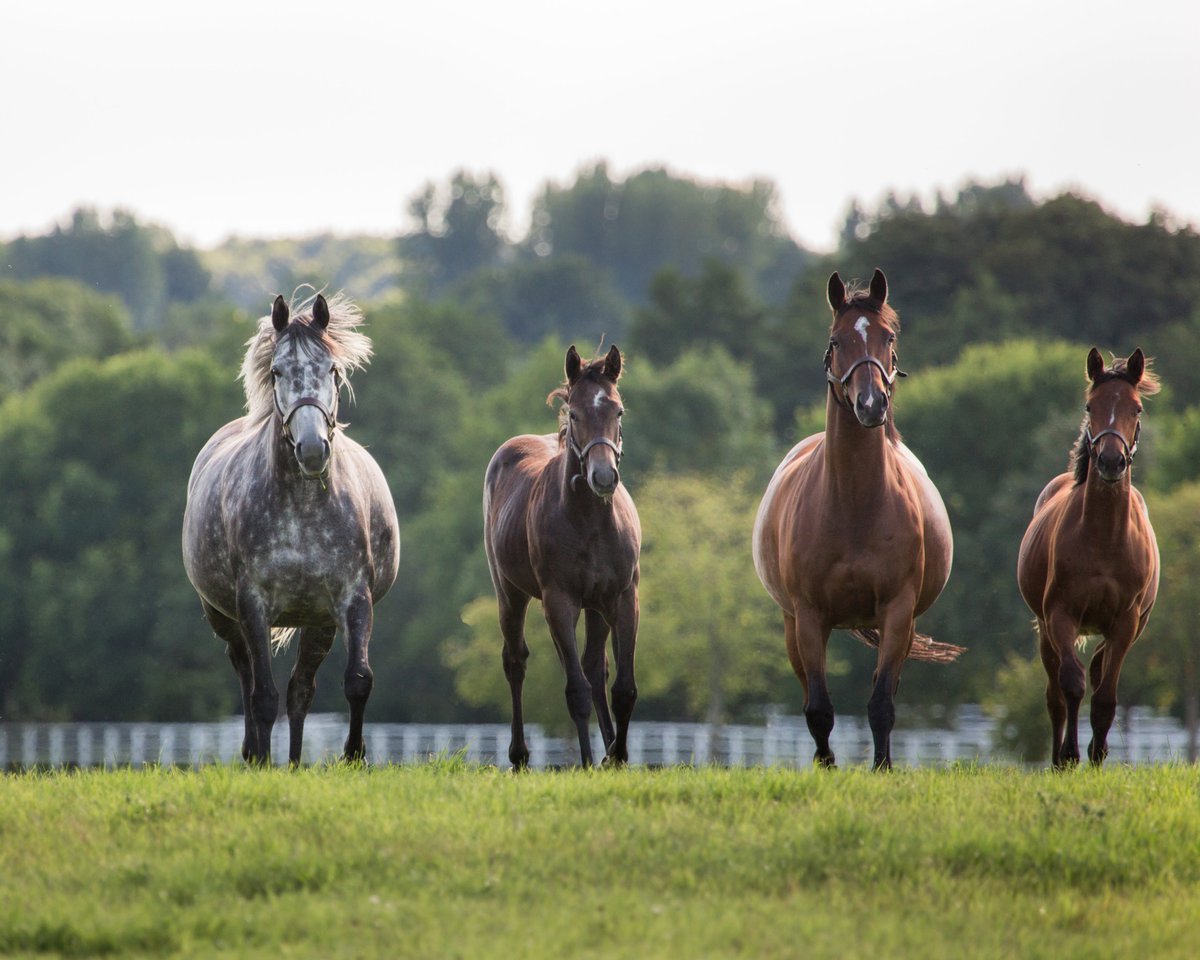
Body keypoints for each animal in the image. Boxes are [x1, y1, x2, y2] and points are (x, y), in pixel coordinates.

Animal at [182, 291, 399, 765]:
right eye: (277, 371)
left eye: (332, 369)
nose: (313, 449)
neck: (302, 508)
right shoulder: (253, 605)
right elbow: (263, 695)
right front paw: (263, 760)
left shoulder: (352, 600)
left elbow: (357, 681)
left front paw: (353, 757)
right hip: (224, 615)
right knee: (245, 672)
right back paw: (253, 752)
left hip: (317, 622)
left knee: (301, 689)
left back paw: (297, 761)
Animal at [483, 344, 641, 768]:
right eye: (574, 414)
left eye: (618, 411)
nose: (603, 477)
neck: (590, 521)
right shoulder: (559, 601)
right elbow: (577, 691)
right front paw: (587, 761)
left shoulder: (623, 597)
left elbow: (622, 688)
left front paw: (617, 757)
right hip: (511, 594)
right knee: (516, 662)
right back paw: (520, 756)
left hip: (596, 606)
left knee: (594, 668)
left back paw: (609, 748)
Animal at [752, 269, 959, 769]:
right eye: (836, 340)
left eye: (888, 337)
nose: (871, 404)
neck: (853, 506)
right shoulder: (809, 617)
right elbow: (819, 708)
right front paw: (826, 767)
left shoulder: (898, 612)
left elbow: (881, 703)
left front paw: (882, 767)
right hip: (792, 625)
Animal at [1017, 347, 1160, 768]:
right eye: (1090, 405)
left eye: (1136, 408)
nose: (1111, 462)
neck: (1104, 539)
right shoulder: (1059, 615)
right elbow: (1071, 686)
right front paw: (1068, 756)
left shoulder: (1126, 622)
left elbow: (1105, 695)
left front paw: (1097, 756)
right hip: (1045, 629)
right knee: (1056, 693)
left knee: (1097, 672)